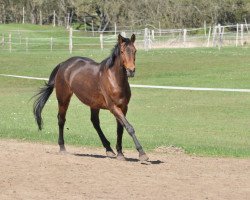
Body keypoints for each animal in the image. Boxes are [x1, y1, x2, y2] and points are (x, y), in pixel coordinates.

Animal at [33, 34, 148, 162]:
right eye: (122, 51)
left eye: (135, 51)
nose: (131, 71)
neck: (114, 79)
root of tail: (64, 64)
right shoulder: (113, 108)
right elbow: (129, 127)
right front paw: (142, 153)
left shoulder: (123, 107)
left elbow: (120, 129)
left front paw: (120, 153)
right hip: (63, 99)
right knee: (61, 119)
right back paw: (62, 147)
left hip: (93, 104)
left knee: (95, 123)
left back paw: (109, 149)